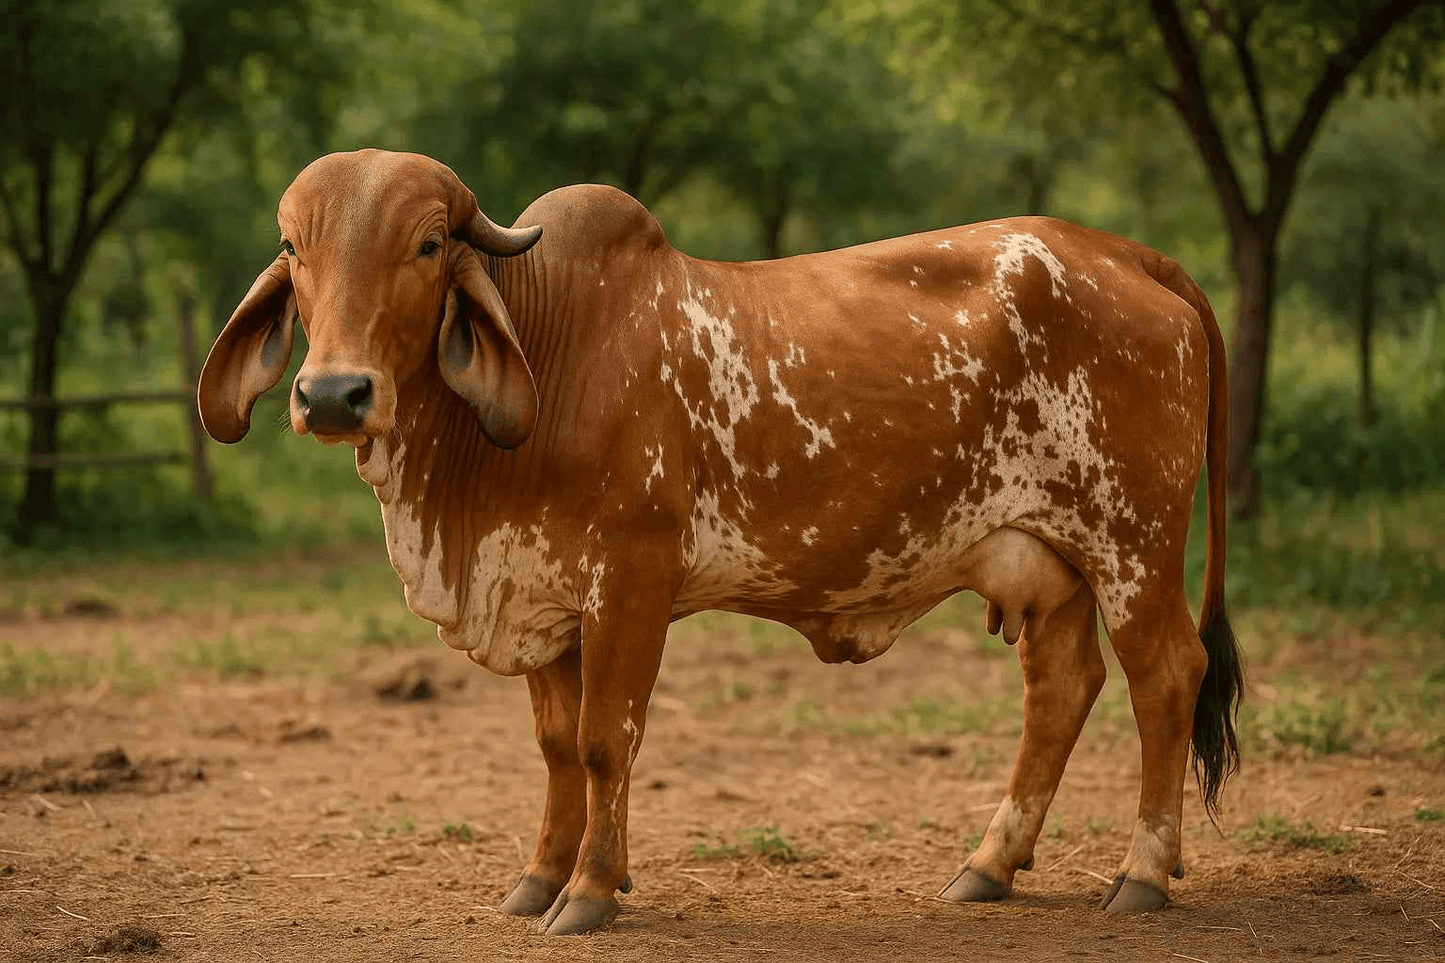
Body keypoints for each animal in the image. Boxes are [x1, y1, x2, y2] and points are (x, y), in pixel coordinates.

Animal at [197, 149, 1244, 936]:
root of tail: (1130, 255)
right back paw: (988, 865)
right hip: (1049, 561)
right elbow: (555, 748)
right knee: (1061, 689)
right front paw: (539, 879)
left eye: (423, 243)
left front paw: (589, 892)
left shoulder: (630, 581)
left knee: (1165, 676)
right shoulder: (544, 595)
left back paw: (1141, 872)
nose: (333, 394)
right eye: (293, 247)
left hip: (1132, 545)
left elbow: (605, 742)